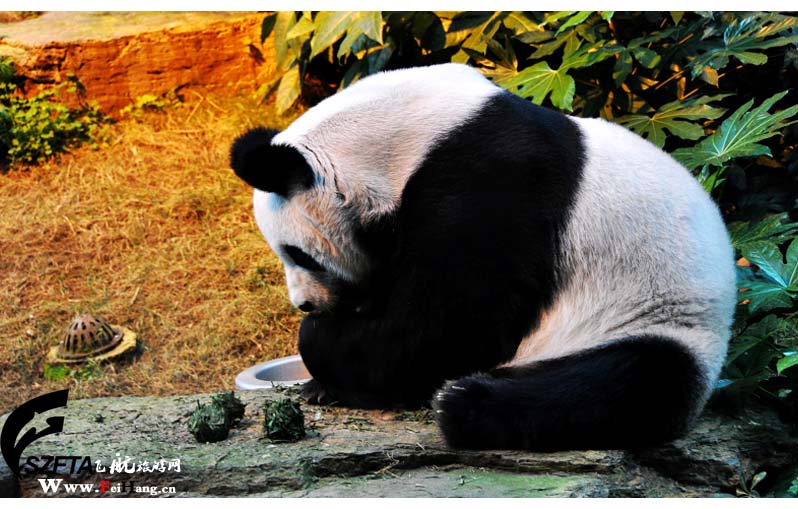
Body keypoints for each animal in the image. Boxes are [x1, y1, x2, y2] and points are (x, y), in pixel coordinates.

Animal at [230, 62, 736, 448]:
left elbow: (446, 325)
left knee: (621, 384)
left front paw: (319, 342)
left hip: (656, 321)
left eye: (298, 254)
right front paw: (320, 380)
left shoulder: (493, 181)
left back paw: (464, 400)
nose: (305, 304)